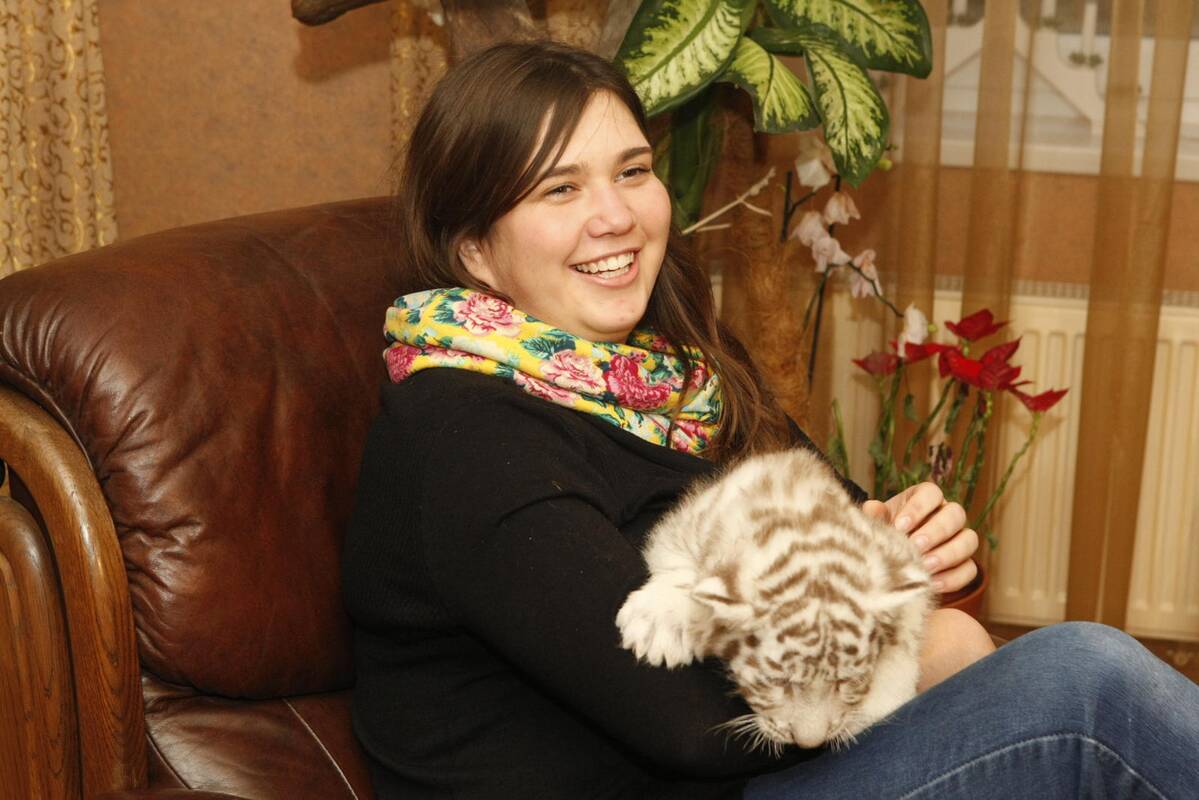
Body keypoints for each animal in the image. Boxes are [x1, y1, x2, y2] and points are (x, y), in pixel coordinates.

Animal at [616, 448, 932, 751]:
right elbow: (682, 570)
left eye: (845, 681)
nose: (809, 744)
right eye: (778, 682)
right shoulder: (686, 524)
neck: (803, 519)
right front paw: (657, 626)